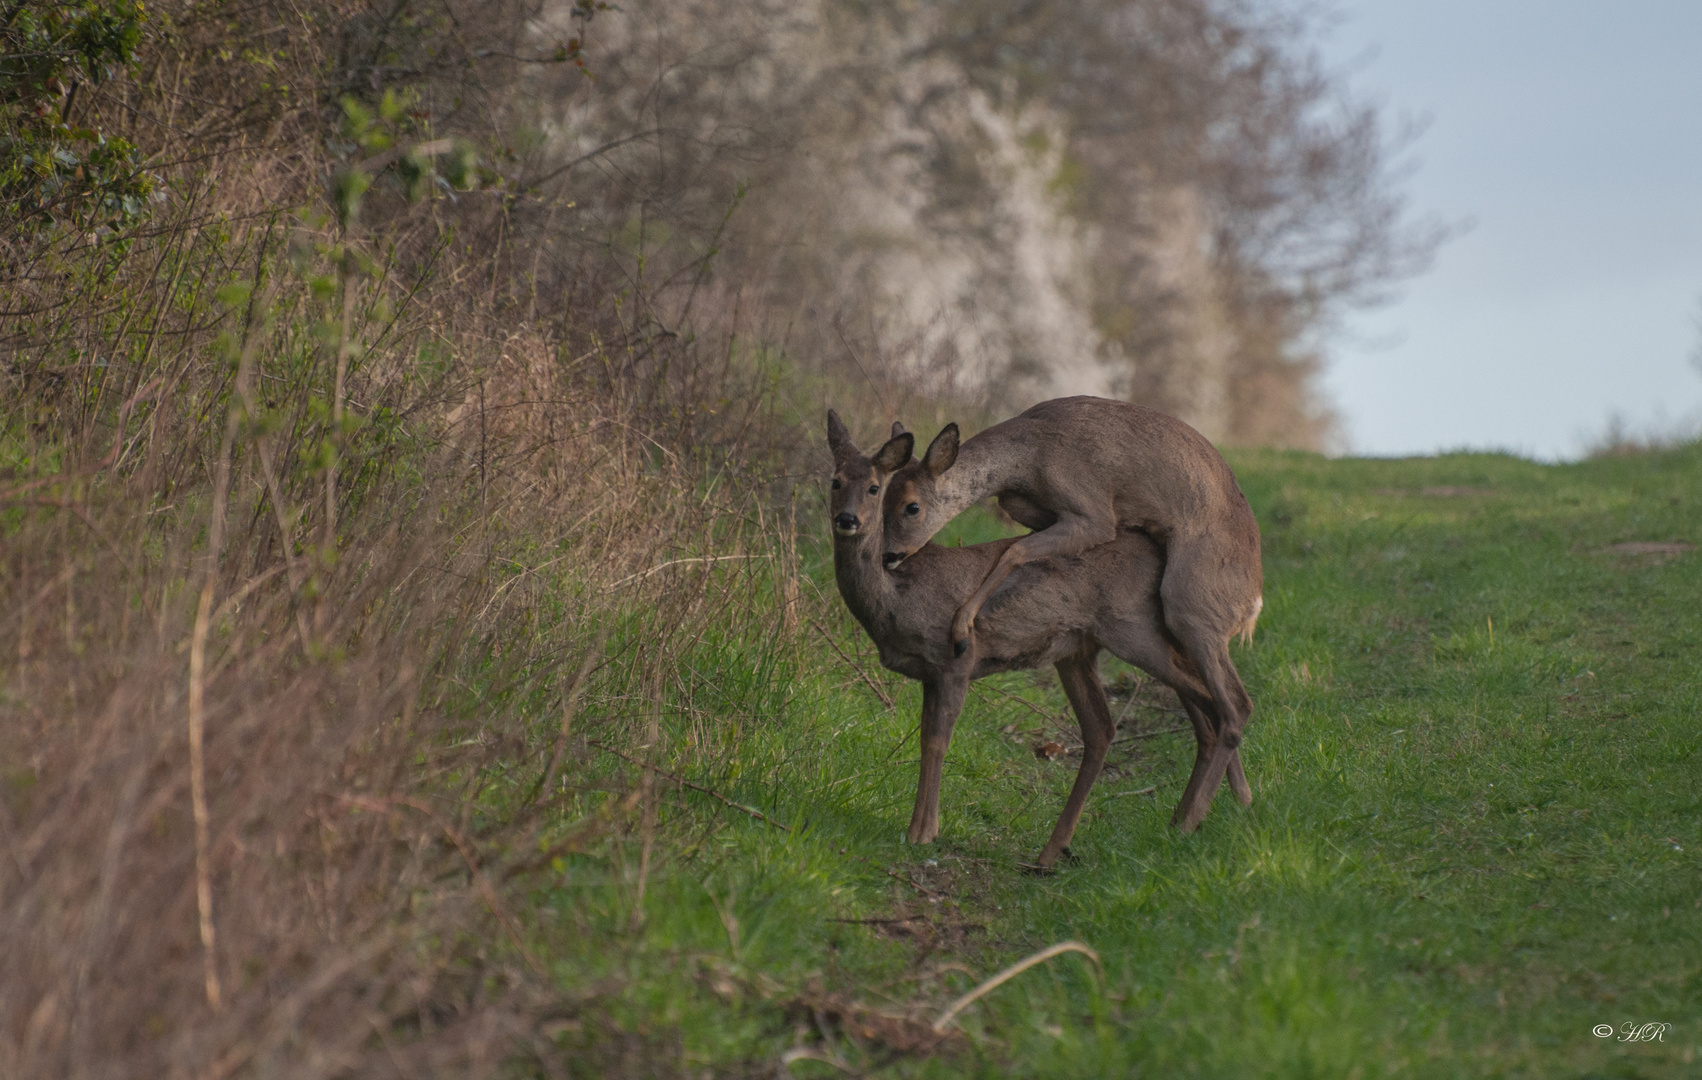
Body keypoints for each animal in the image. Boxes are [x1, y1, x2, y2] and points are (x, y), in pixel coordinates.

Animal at [827, 409, 1252, 867]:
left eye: (875, 487)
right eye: (834, 480)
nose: (847, 520)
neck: (894, 598)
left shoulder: (954, 663)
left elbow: (939, 741)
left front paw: (922, 833)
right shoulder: (928, 674)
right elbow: (925, 738)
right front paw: (919, 828)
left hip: (1134, 630)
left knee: (1223, 703)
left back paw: (1195, 816)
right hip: (1078, 652)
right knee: (1108, 727)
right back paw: (1063, 848)